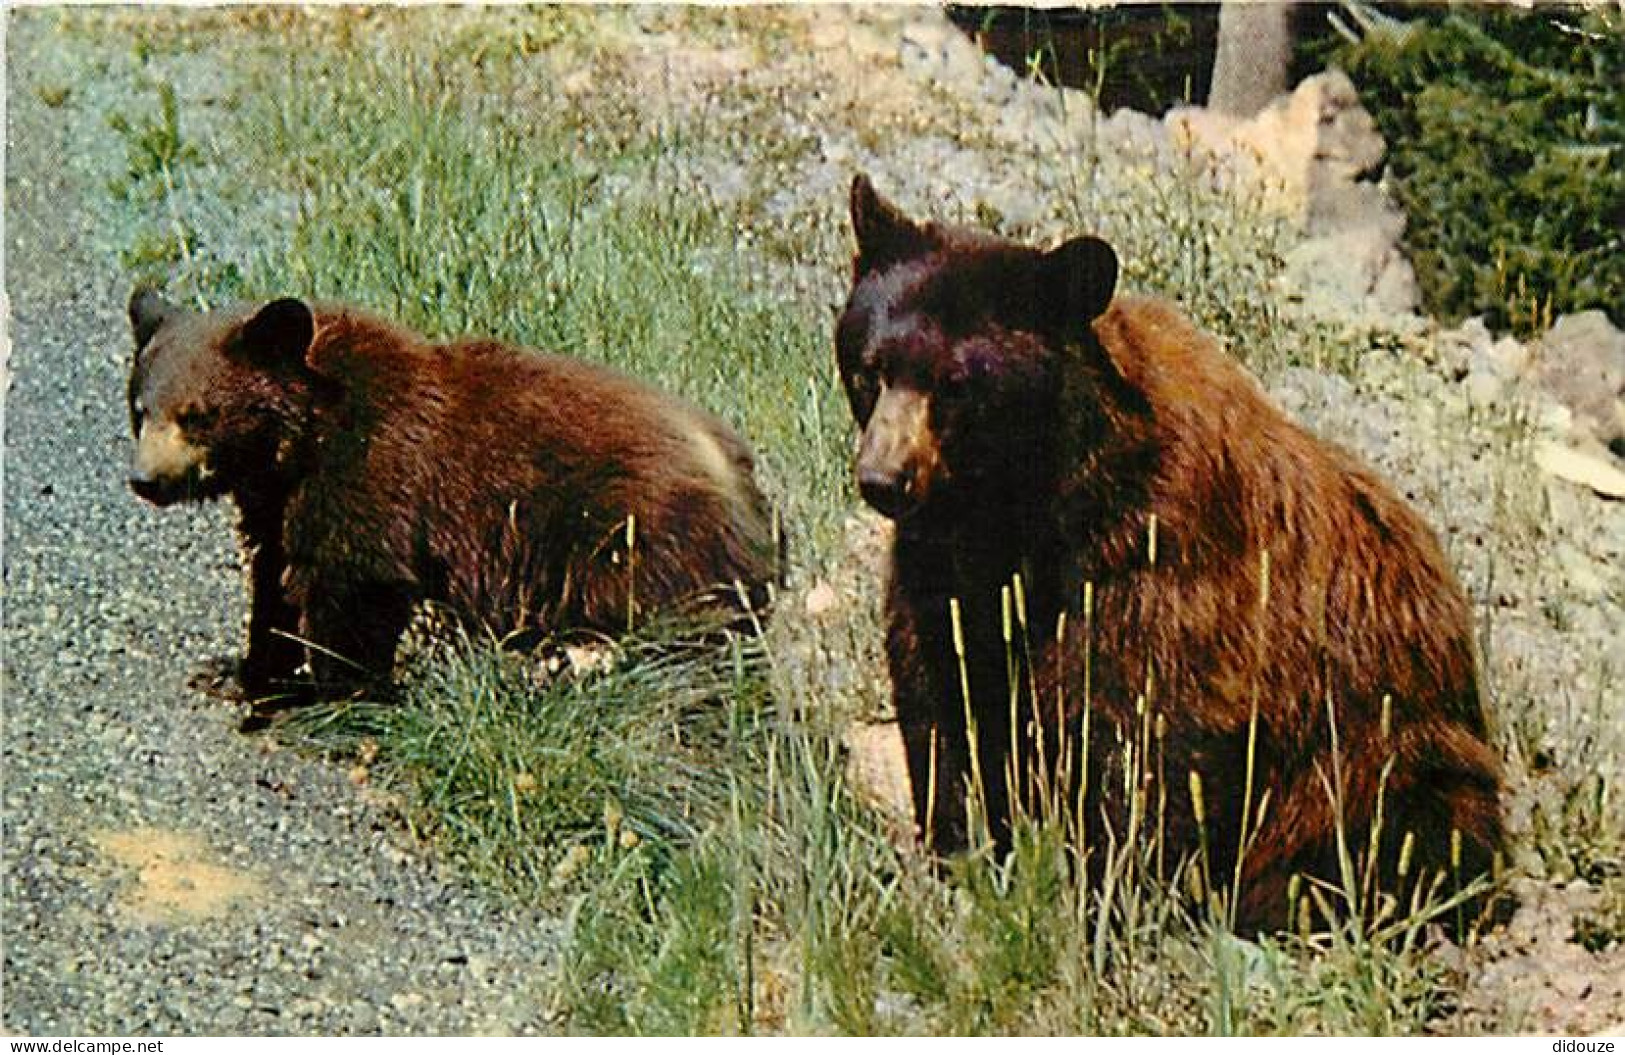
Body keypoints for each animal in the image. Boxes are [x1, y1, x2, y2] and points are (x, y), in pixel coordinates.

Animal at [125, 287, 780, 715]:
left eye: (198, 414)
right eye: (140, 408)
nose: (145, 480)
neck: (300, 441)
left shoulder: (371, 467)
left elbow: (353, 586)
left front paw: (331, 694)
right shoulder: (278, 502)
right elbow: (276, 583)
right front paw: (243, 671)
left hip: (629, 541)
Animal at [845, 174, 1501, 936]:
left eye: (957, 382)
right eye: (870, 369)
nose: (884, 478)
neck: (1025, 505)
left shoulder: (1157, 568)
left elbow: (1142, 738)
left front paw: (1108, 892)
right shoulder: (945, 572)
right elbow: (943, 701)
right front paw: (961, 855)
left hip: (1388, 745)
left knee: (1399, 825)